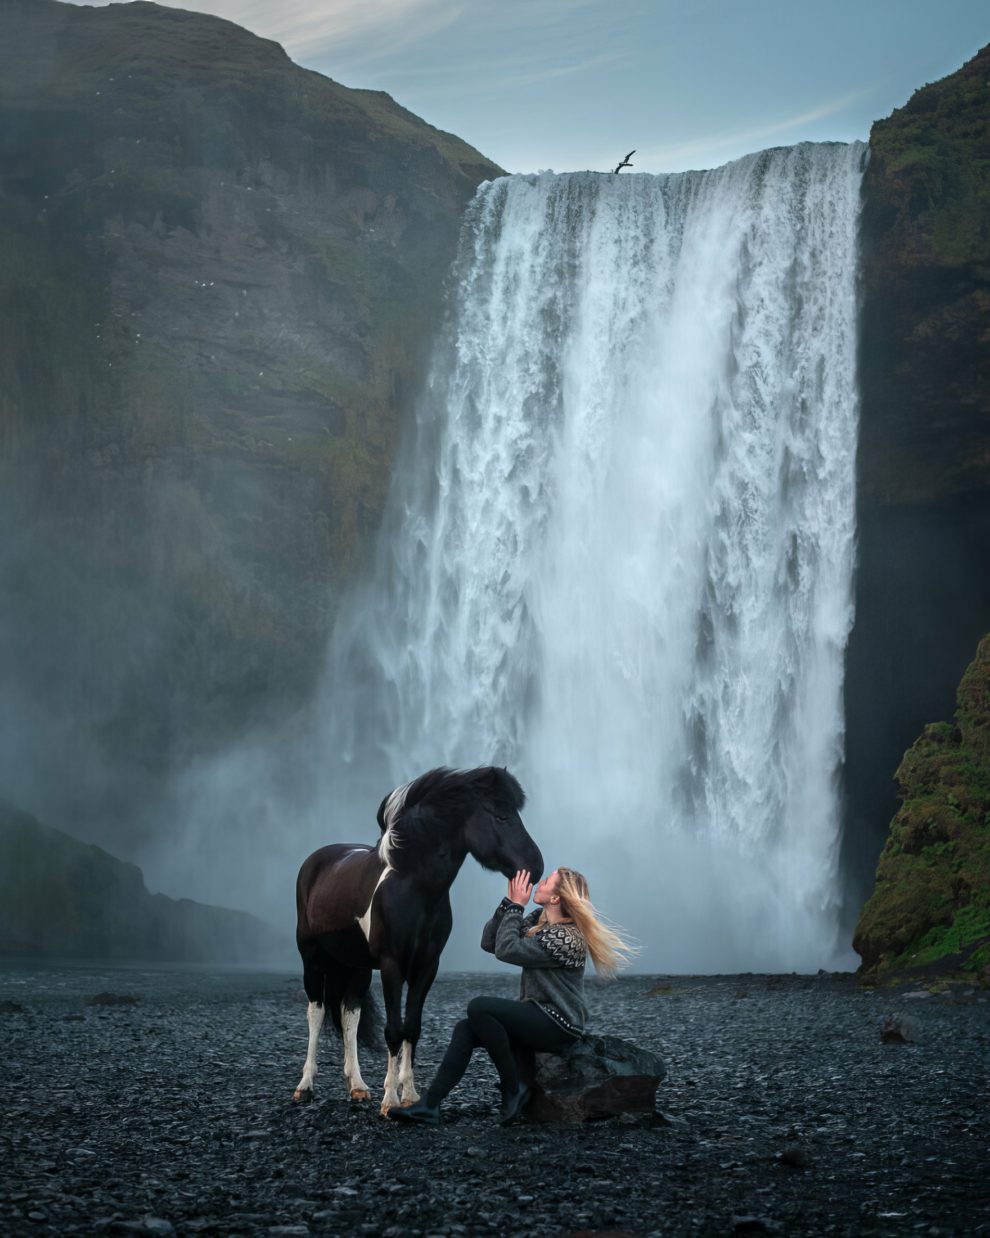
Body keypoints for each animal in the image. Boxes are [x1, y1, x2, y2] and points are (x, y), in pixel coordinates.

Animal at [289, 762, 544, 1114]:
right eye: (501, 816)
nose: (536, 866)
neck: (413, 887)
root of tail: (317, 860)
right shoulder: (392, 965)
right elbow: (394, 1029)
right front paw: (389, 1101)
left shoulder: (426, 966)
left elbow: (413, 1027)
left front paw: (408, 1095)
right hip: (312, 958)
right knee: (316, 1011)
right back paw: (304, 1086)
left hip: (355, 966)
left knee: (349, 1013)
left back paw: (357, 1086)